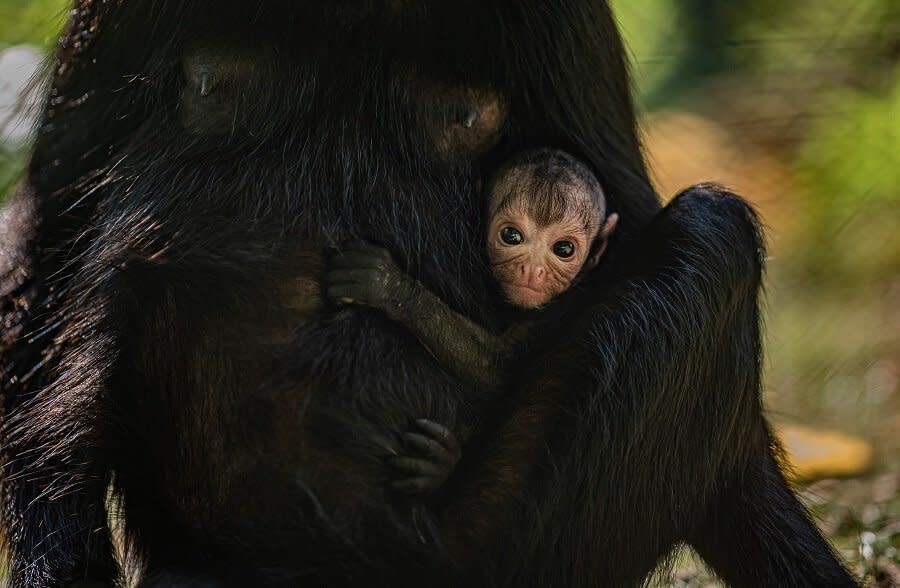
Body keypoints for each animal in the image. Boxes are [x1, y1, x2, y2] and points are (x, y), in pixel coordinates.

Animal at [326, 149, 616, 494]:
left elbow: (500, 371)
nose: (532, 269)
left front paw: (390, 287)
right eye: (511, 236)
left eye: (564, 249)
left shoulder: (559, 307)